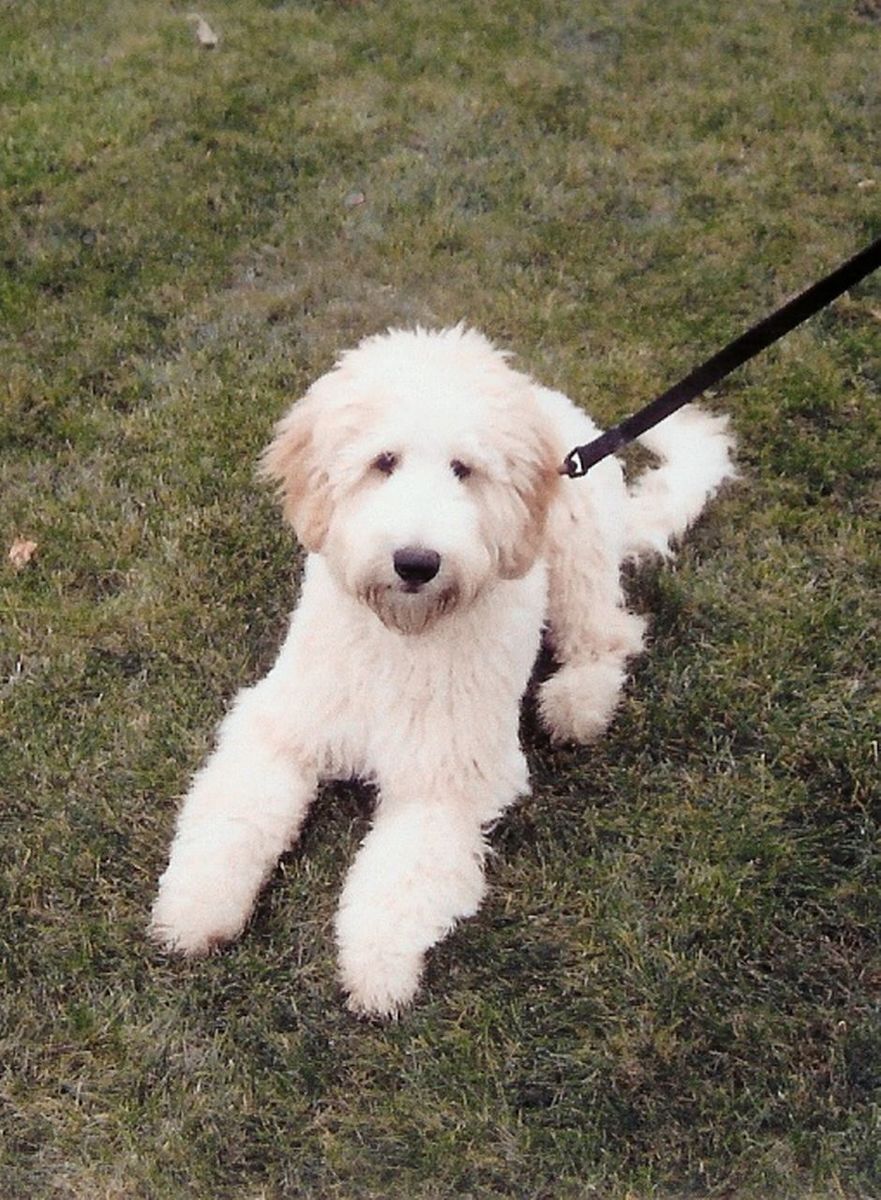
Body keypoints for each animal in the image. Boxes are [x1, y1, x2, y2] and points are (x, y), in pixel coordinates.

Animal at [150, 326, 739, 1012]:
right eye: (384, 461)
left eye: (464, 469)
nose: (416, 562)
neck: (400, 639)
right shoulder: (282, 727)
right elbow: (232, 815)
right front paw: (195, 909)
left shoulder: (448, 775)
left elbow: (402, 874)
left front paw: (377, 969)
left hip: (576, 554)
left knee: (609, 635)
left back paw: (578, 703)